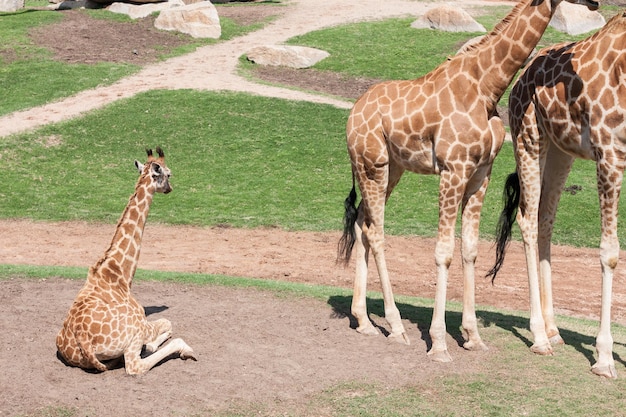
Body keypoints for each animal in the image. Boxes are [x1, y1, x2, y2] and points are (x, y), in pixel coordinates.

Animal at [334, 0, 596, 360]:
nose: (596, 3)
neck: (487, 86)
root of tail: (351, 116)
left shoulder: (481, 173)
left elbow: (469, 249)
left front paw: (472, 336)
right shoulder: (453, 169)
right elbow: (443, 251)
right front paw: (439, 343)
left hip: (389, 168)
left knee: (362, 221)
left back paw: (363, 321)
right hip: (374, 165)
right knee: (376, 232)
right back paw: (396, 327)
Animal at [488, 12, 624, 376]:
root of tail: (521, 79)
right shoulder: (609, 154)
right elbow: (609, 252)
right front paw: (604, 358)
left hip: (562, 150)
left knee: (545, 218)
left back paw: (553, 329)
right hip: (528, 137)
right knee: (526, 218)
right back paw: (539, 337)